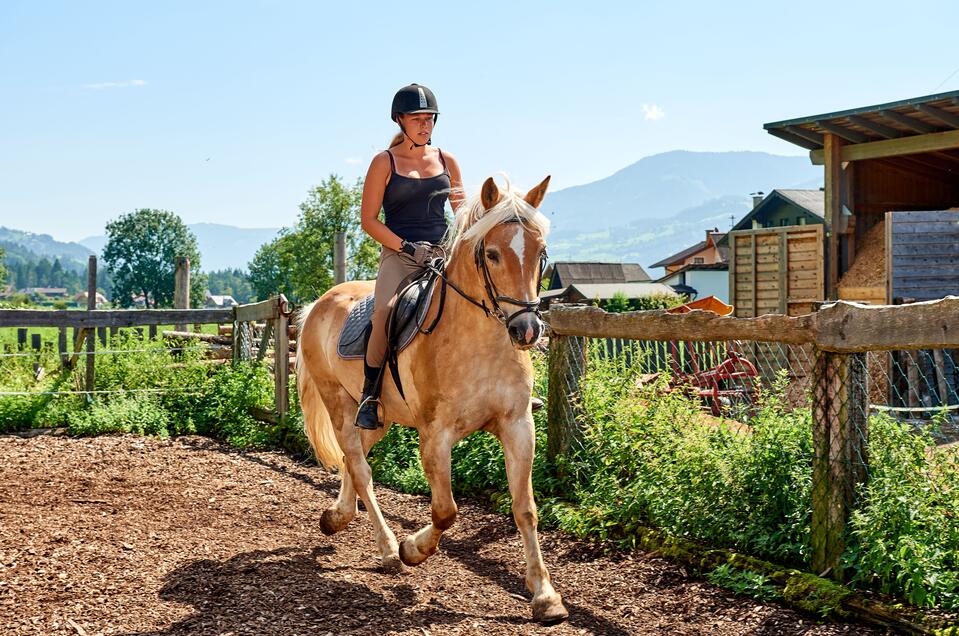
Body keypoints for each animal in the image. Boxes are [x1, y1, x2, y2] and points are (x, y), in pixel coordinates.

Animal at [296, 176, 568, 624]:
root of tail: (319, 302)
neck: (479, 341)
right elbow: (446, 510)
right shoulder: (435, 436)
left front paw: (546, 596)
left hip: (376, 414)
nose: (527, 330)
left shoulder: (518, 427)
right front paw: (413, 549)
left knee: (356, 456)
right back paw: (389, 549)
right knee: (359, 466)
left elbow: (525, 508)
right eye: (492, 254)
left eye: (541, 254)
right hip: (337, 401)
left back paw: (337, 517)